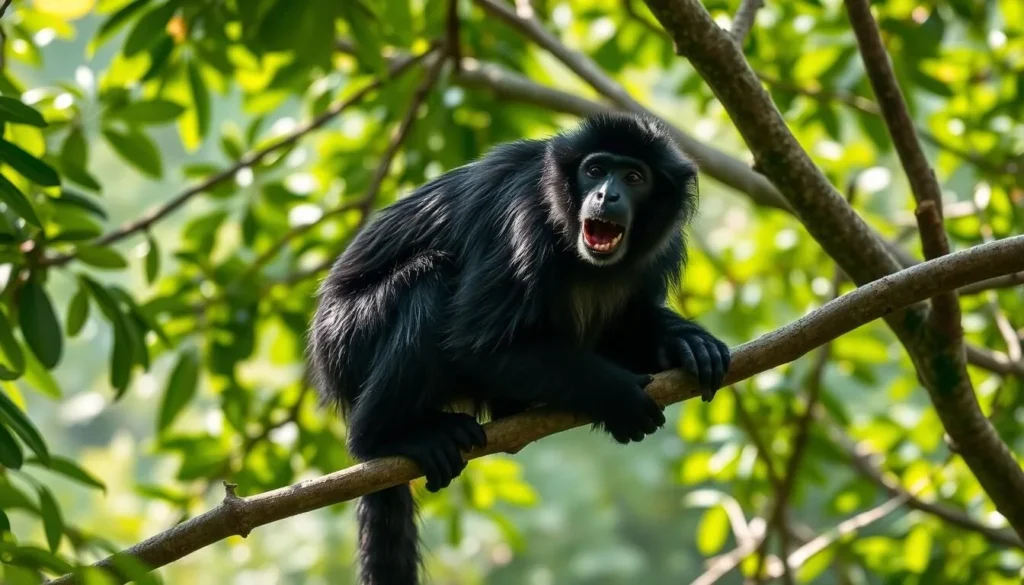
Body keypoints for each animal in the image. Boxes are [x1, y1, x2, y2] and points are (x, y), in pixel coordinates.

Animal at [308, 113, 730, 585]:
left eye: (634, 177)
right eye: (595, 170)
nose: (607, 194)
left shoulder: (663, 246)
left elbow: (627, 325)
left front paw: (686, 343)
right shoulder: (522, 221)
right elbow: (475, 344)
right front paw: (618, 396)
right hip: (347, 337)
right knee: (428, 282)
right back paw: (384, 439)